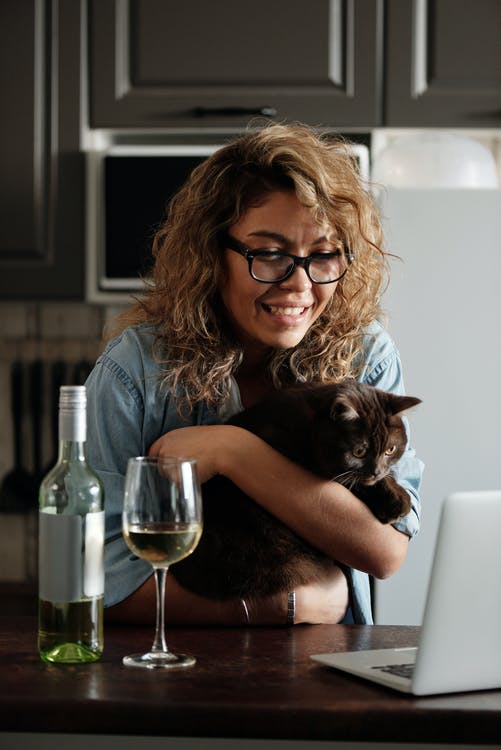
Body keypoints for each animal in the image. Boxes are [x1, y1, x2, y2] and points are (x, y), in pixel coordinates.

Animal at [172, 382, 418, 600]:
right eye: (359, 452)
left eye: (390, 450)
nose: (376, 471)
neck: (311, 426)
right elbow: (350, 481)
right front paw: (397, 501)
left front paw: (395, 493)